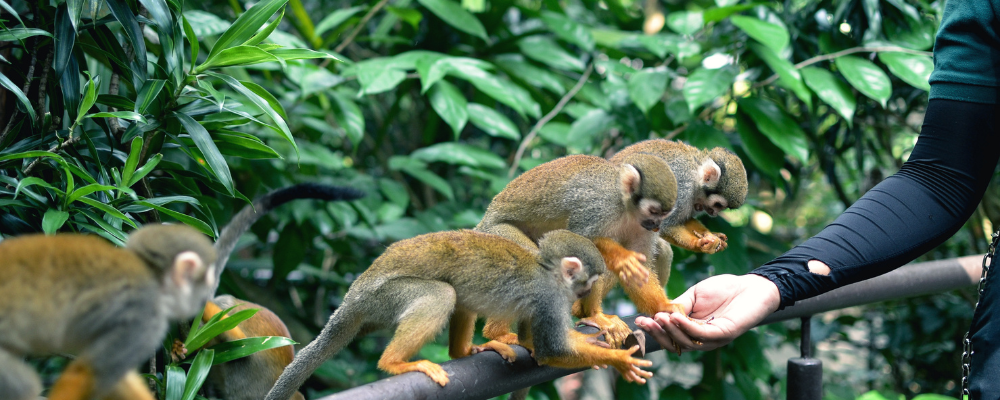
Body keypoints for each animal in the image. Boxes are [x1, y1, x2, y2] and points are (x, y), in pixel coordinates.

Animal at [263, 229, 654, 400]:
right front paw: (617, 359)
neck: (548, 270)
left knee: (460, 296)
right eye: (589, 281)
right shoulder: (550, 295)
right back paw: (395, 363)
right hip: (382, 296)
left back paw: (464, 352)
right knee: (442, 294)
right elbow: (549, 350)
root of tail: (356, 292)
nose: (586, 295)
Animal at [474, 153, 682, 348]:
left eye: (664, 214)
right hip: (499, 232)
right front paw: (622, 259)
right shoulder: (598, 205)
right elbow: (583, 238)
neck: (625, 207)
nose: (656, 226)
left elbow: (640, 268)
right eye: (654, 212)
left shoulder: (641, 226)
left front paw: (664, 307)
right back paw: (498, 333)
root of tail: (484, 222)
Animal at [610, 139, 748, 255]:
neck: (695, 177)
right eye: (718, 205)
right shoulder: (682, 188)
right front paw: (698, 244)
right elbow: (665, 226)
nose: (714, 213)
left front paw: (709, 234)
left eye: (722, 208)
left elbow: (685, 220)